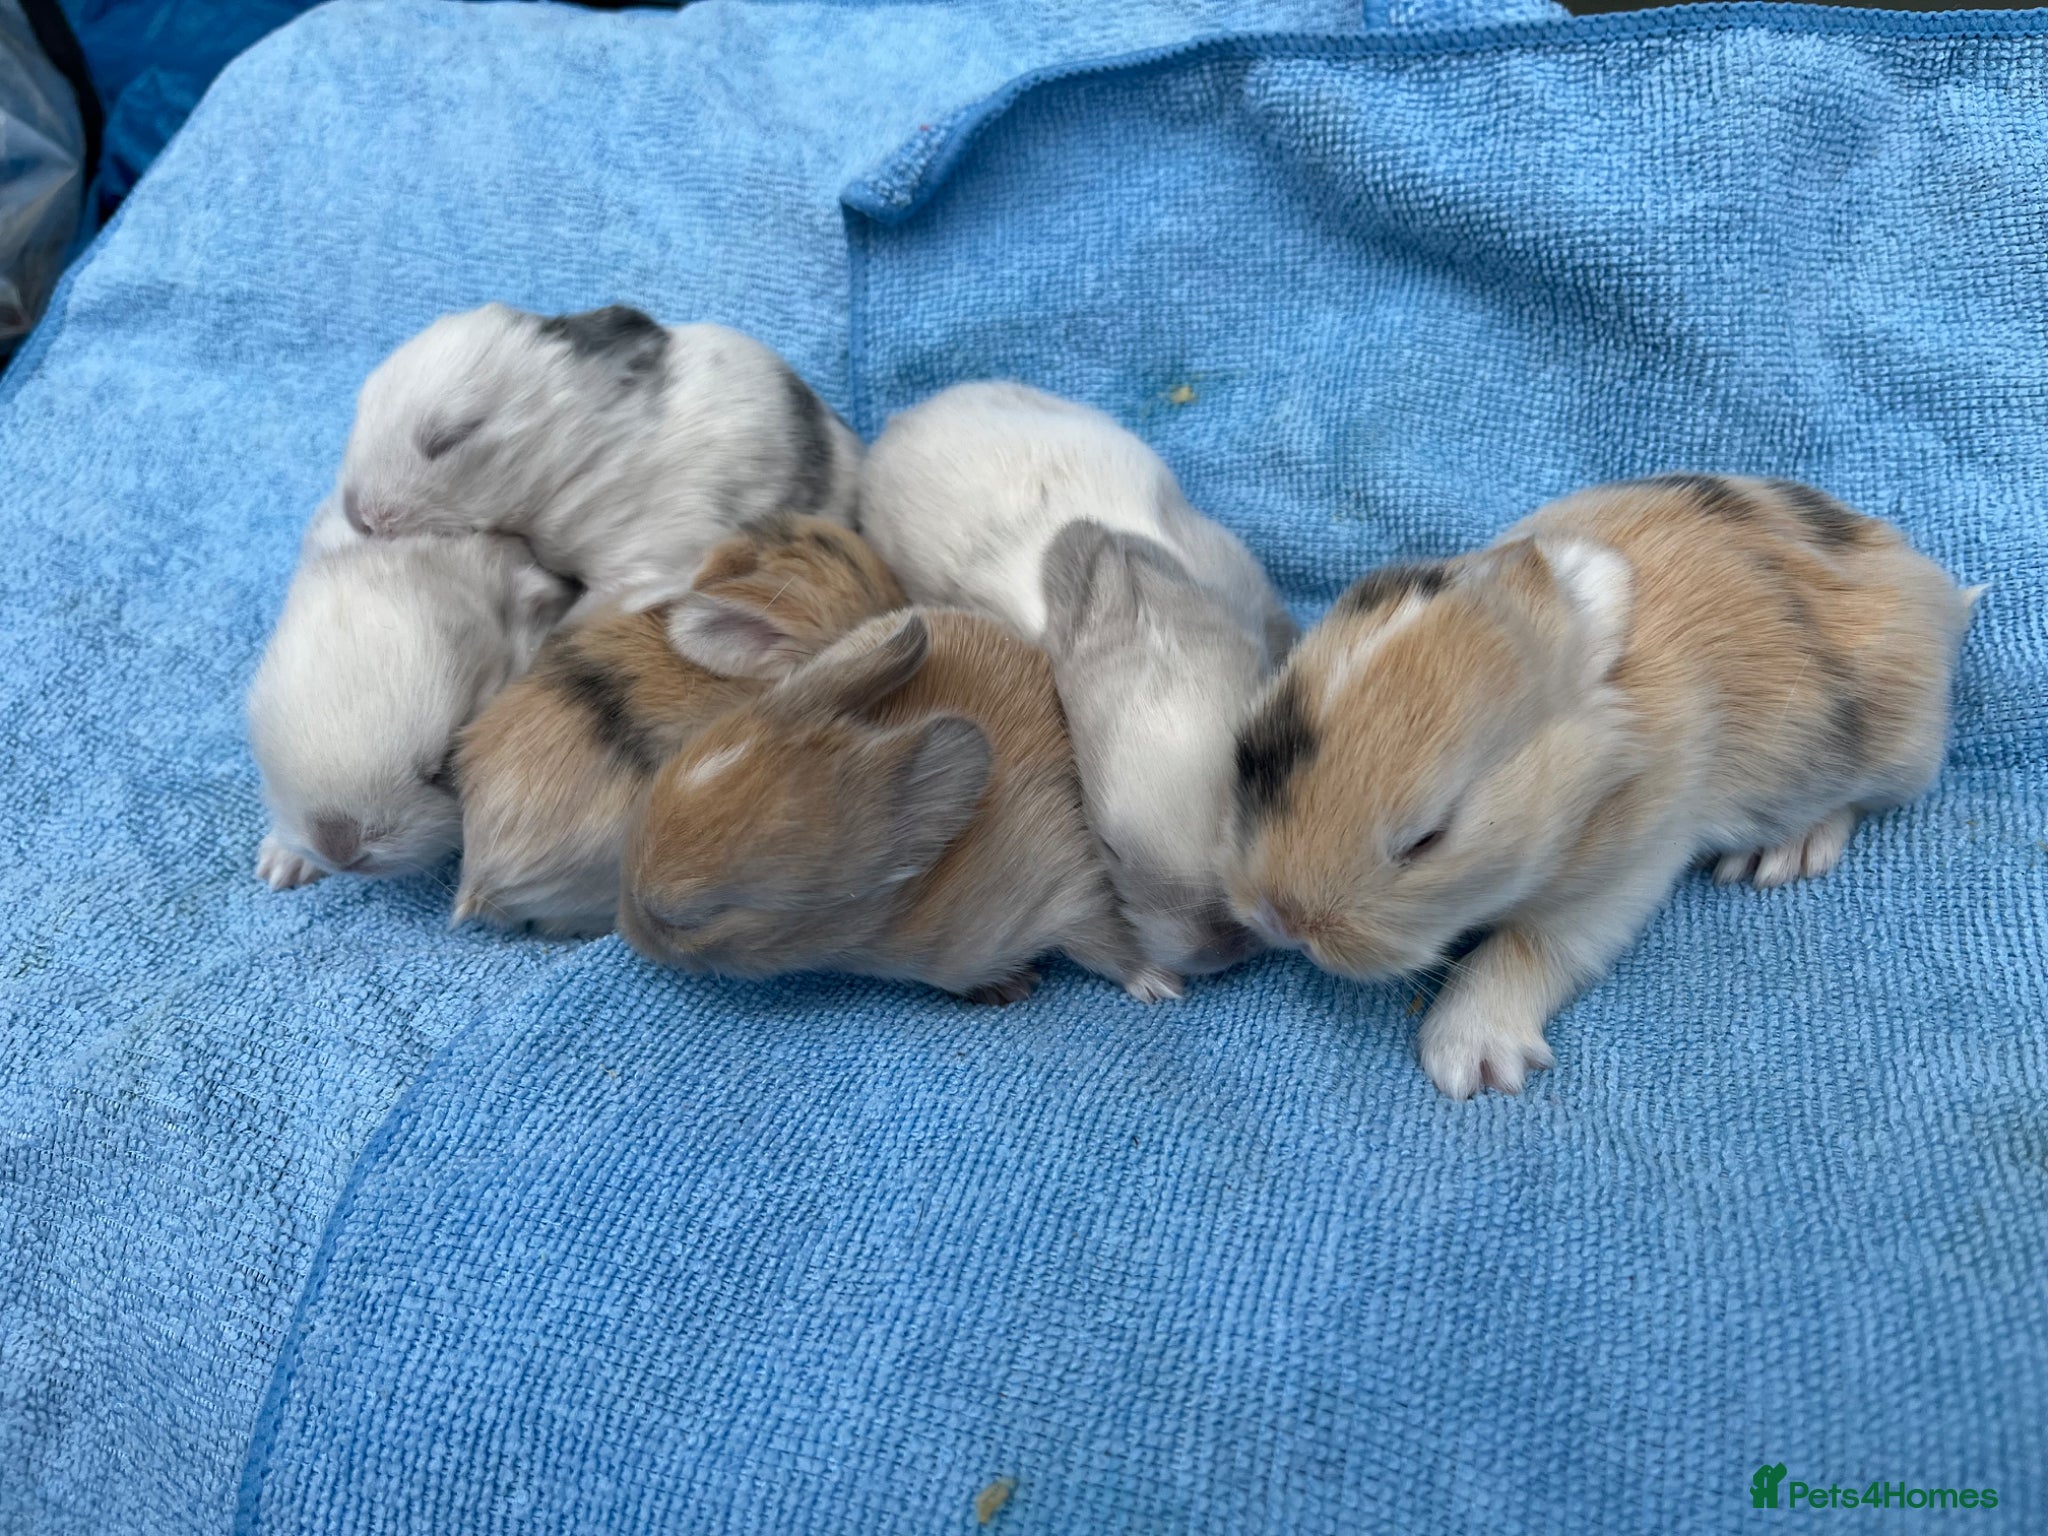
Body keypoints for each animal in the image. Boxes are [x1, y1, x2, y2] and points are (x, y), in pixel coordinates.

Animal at [618, 608, 1184, 1005]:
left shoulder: (1072, 885)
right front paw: (1006, 987)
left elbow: (1110, 944)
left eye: (691, 919)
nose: (626, 934)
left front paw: (1161, 984)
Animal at [1226, 473, 1979, 1099]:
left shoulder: (1625, 876)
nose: (1282, 921)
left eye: (1427, 838)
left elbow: (1529, 949)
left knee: (1854, 805)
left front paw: (1469, 1061)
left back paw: (1781, 854)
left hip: (1889, 752)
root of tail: (1937, 593)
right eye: (1249, 751)